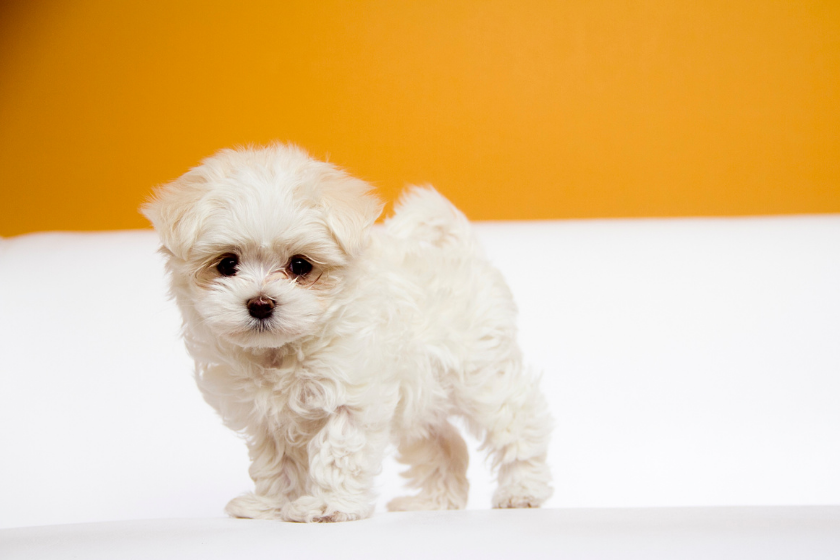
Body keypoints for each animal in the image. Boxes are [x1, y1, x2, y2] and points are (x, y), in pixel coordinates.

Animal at [144, 143, 552, 520]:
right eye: (227, 264)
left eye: (300, 266)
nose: (260, 304)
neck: (283, 351)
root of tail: (463, 250)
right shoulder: (267, 419)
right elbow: (275, 464)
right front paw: (271, 506)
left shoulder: (351, 397)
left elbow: (337, 452)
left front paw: (328, 506)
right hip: (421, 393)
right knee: (444, 443)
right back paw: (433, 503)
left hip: (480, 375)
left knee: (518, 421)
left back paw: (522, 491)